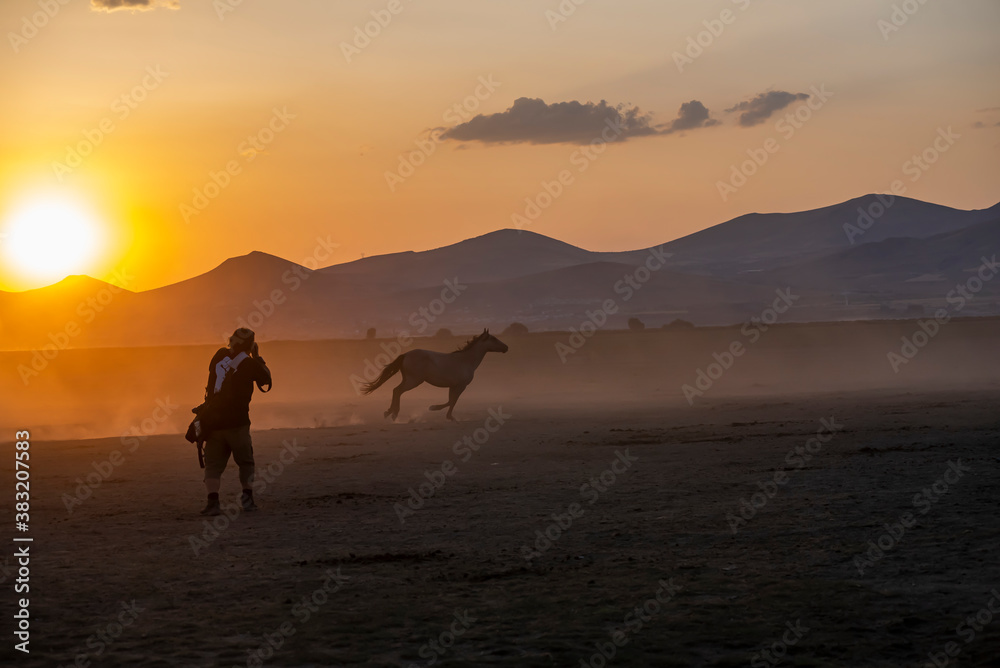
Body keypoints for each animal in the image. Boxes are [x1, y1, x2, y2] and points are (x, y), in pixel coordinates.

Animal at [362, 330, 508, 420]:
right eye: (494, 339)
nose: (506, 347)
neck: (465, 360)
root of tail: (406, 355)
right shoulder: (461, 386)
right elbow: (452, 401)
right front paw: (438, 411)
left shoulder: (453, 386)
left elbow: (451, 400)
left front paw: (446, 415)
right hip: (413, 381)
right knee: (397, 390)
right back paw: (393, 413)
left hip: (408, 380)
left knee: (395, 390)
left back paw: (389, 412)